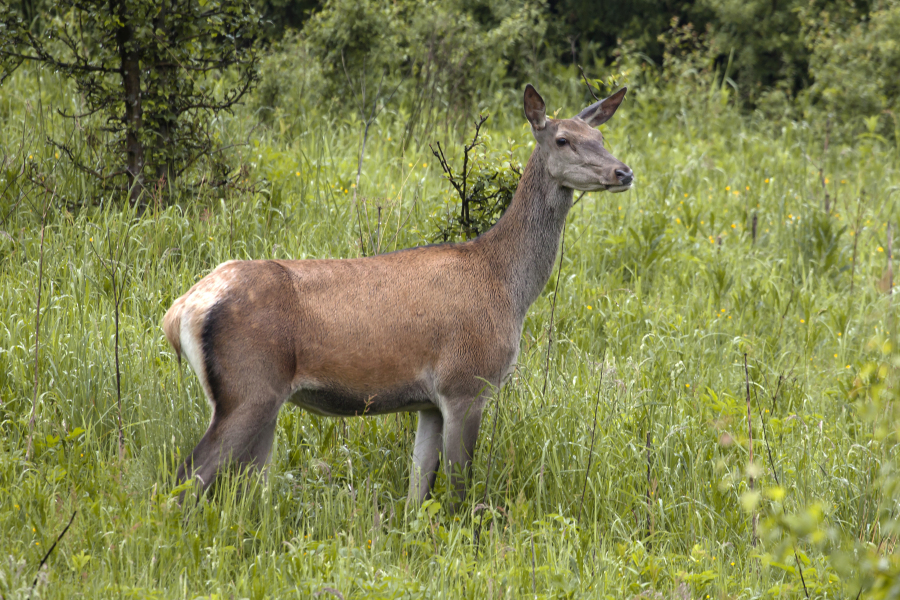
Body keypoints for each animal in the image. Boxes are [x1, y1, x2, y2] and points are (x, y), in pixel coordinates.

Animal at [165, 83, 636, 506]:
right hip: (249, 386)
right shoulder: (465, 382)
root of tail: (180, 311)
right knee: (185, 481)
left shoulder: (427, 403)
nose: (624, 172)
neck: (507, 285)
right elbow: (459, 491)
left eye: (600, 137)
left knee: (244, 488)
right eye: (563, 139)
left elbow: (417, 492)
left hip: (260, 400)